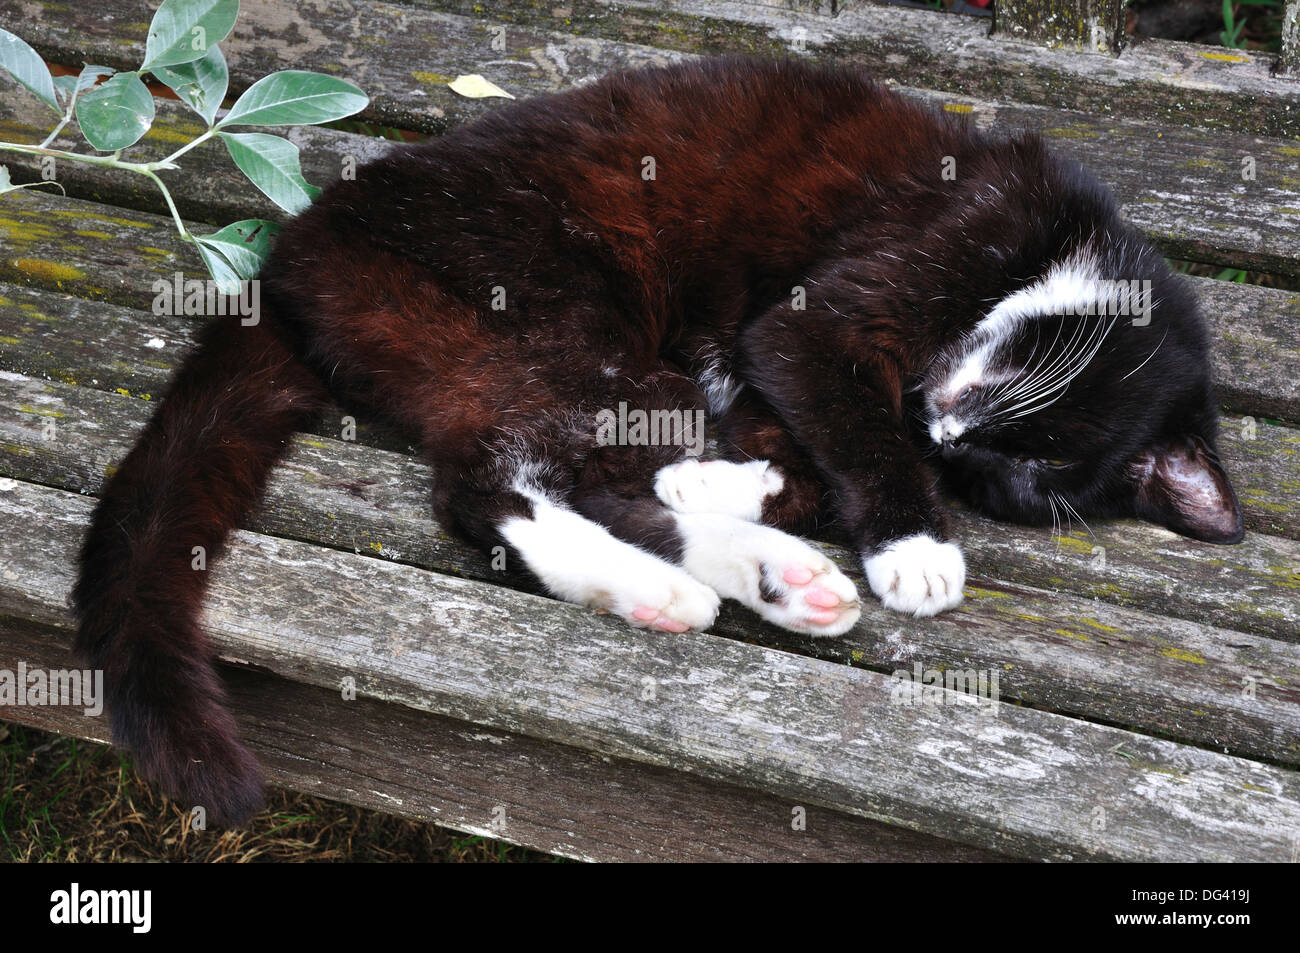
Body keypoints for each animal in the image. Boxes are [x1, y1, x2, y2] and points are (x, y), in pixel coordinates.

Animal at [73, 55, 1248, 821]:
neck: (1052, 248)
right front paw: (915, 545)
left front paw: (789, 490)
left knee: (521, 475)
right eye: (1026, 432)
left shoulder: (795, 375)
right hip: (549, 306)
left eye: (1019, 473)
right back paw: (708, 571)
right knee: (515, 473)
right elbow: (849, 422)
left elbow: (814, 455)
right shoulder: (830, 311)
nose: (948, 426)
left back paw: (736, 576)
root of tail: (290, 257)